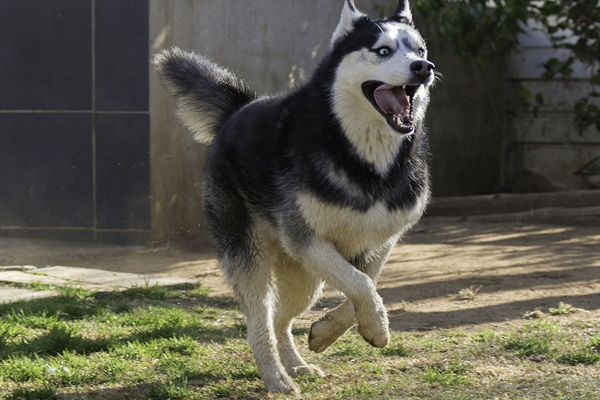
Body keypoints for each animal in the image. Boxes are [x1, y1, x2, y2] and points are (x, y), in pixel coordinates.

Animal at [154, 0, 436, 394]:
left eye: (420, 50)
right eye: (383, 50)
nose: (424, 68)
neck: (363, 158)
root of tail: (238, 110)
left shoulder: (380, 241)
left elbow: (366, 284)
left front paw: (331, 332)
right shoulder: (305, 238)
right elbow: (360, 284)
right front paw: (377, 327)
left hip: (304, 278)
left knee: (278, 319)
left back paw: (296, 364)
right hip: (252, 257)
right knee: (259, 322)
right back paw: (276, 377)